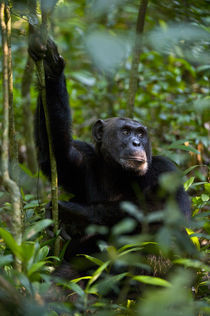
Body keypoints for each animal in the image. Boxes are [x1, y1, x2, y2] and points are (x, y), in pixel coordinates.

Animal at [28, 31, 191, 260]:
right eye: (125, 132)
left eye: (140, 133)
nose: (136, 142)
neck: (118, 173)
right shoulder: (81, 160)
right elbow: (56, 151)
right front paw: (51, 67)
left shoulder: (166, 170)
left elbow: (170, 212)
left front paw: (75, 213)